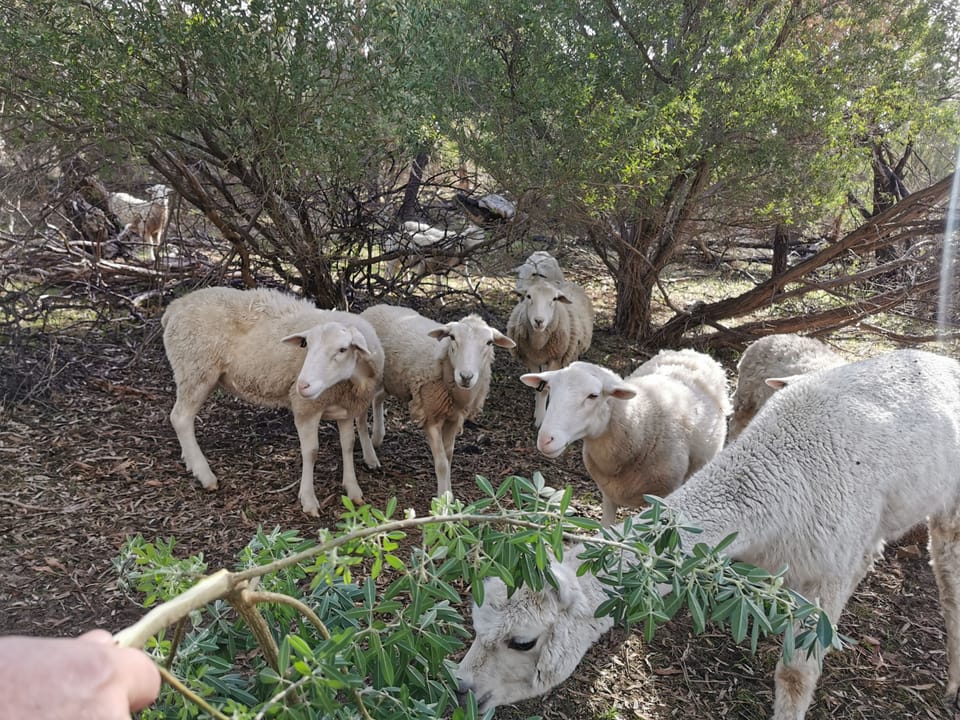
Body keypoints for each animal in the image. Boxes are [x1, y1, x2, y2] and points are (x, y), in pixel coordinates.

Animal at [161, 286, 384, 516]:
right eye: (306, 345)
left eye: (342, 349)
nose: (302, 385)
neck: (350, 382)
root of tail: (175, 306)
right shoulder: (306, 408)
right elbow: (311, 452)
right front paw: (308, 499)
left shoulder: (347, 408)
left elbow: (347, 445)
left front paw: (353, 490)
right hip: (195, 369)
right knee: (180, 418)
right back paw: (205, 474)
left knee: (182, 418)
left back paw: (191, 463)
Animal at [359, 304, 515, 497]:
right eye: (452, 337)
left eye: (489, 343)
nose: (466, 377)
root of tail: (372, 308)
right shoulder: (430, 415)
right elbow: (441, 463)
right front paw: (443, 498)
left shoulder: (454, 418)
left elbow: (448, 458)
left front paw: (449, 493)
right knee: (360, 418)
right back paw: (370, 457)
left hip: (392, 380)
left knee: (378, 398)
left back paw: (377, 438)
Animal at [507, 278, 594, 426]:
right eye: (529, 296)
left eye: (554, 299)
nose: (539, 321)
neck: (539, 343)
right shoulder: (531, 359)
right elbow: (538, 386)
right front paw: (538, 412)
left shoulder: (555, 359)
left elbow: (545, 388)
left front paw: (541, 419)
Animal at [521, 351, 729, 526]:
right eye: (550, 390)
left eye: (593, 395)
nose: (545, 439)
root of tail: (696, 353)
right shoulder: (608, 494)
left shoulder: (661, 497)